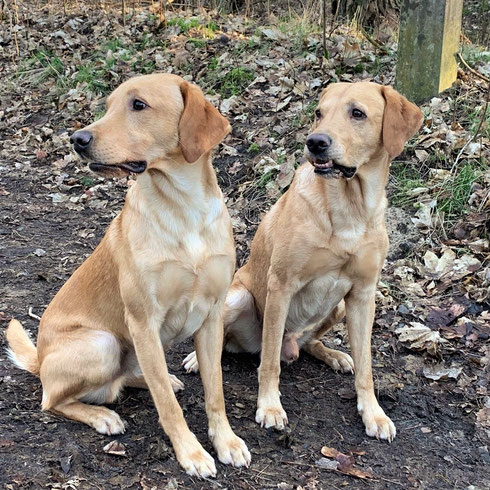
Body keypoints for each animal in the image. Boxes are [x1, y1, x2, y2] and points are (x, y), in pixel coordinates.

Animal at [7, 74, 251, 476]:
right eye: (108, 106)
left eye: (138, 105)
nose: (77, 139)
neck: (184, 210)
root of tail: (41, 360)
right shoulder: (142, 320)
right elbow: (167, 405)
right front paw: (192, 452)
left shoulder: (212, 316)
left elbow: (214, 391)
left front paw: (226, 442)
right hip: (102, 343)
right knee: (53, 399)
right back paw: (101, 416)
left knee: (136, 378)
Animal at [186, 80, 424, 440]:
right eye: (319, 113)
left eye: (357, 113)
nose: (316, 142)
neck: (349, 210)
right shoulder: (281, 285)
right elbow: (269, 361)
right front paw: (270, 407)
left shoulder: (363, 294)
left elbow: (367, 367)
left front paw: (374, 413)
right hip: (241, 298)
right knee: (229, 341)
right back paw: (196, 358)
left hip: (338, 308)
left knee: (311, 341)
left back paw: (334, 355)